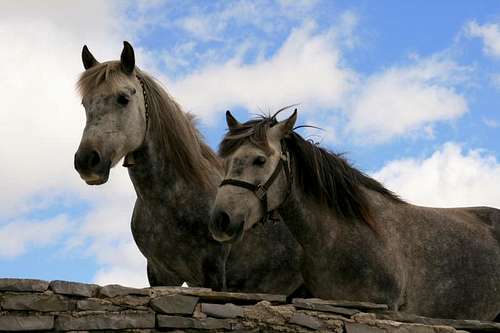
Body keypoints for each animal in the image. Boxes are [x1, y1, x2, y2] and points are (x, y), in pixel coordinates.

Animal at [72, 41, 302, 294]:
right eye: (85, 103)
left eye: (123, 98)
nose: (86, 161)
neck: (172, 199)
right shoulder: (160, 273)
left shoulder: (213, 270)